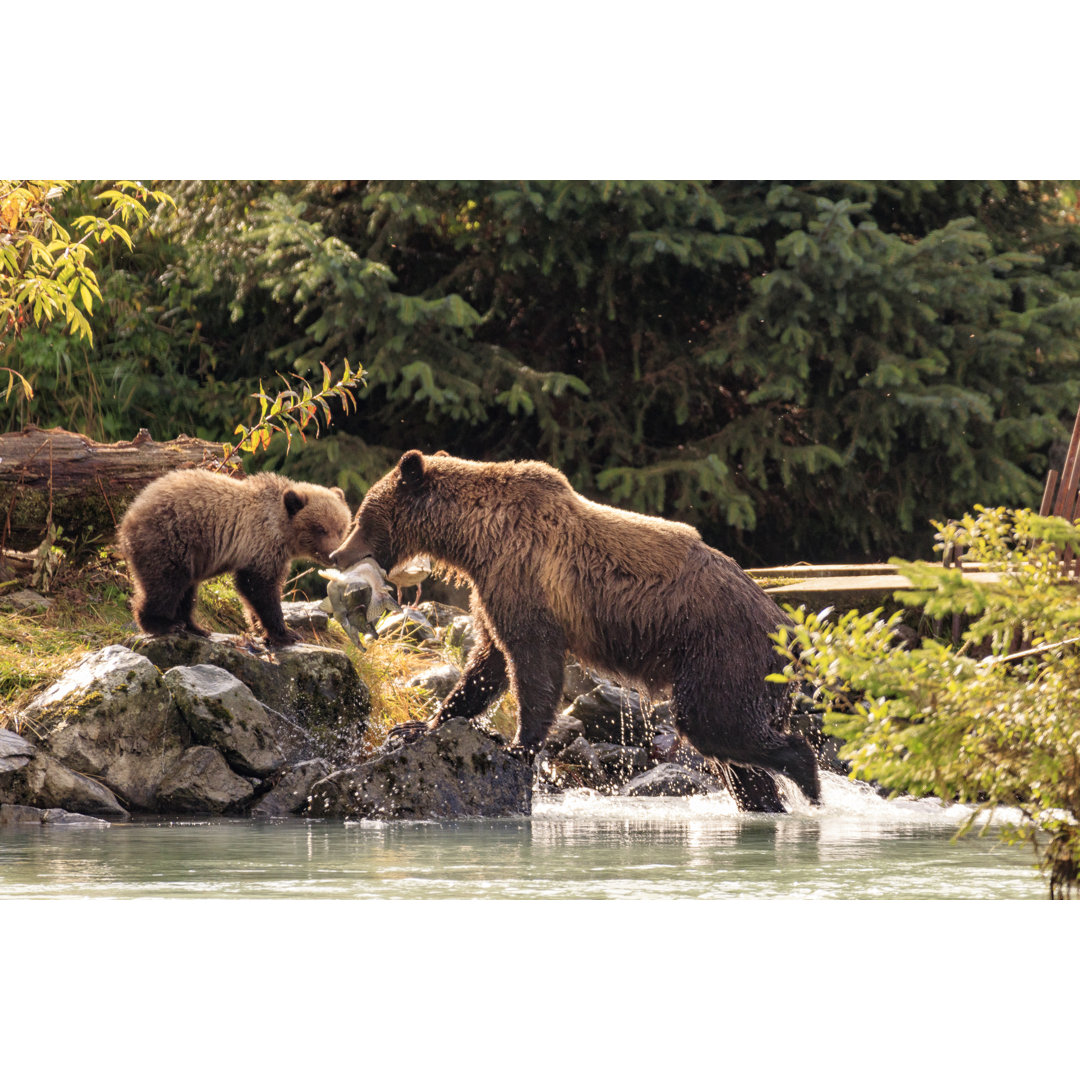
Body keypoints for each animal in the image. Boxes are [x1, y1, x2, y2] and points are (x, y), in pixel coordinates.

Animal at [120, 468, 352, 643]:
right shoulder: (260, 544)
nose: (333, 555)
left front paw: (260, 627)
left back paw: (194, 626)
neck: (282, 530)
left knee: (187, 590)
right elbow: (259, 588)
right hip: (171, 539)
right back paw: (162, 623)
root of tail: (130, 513)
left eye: (341, 528)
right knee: (165, 584)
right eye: (321, 529)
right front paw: (285, 633)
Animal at [328, 449, 816, 812]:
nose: (337, 554)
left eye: (364, 516)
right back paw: (767, 801)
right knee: (733, 756)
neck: (476, 539)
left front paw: (517, 746)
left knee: (715, 723)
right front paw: (418, 726)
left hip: (723, 651)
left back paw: (807, 778)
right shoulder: (492, 588)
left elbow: (531, 661)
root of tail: (791, 629)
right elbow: (486, 664)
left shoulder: (523, 576)